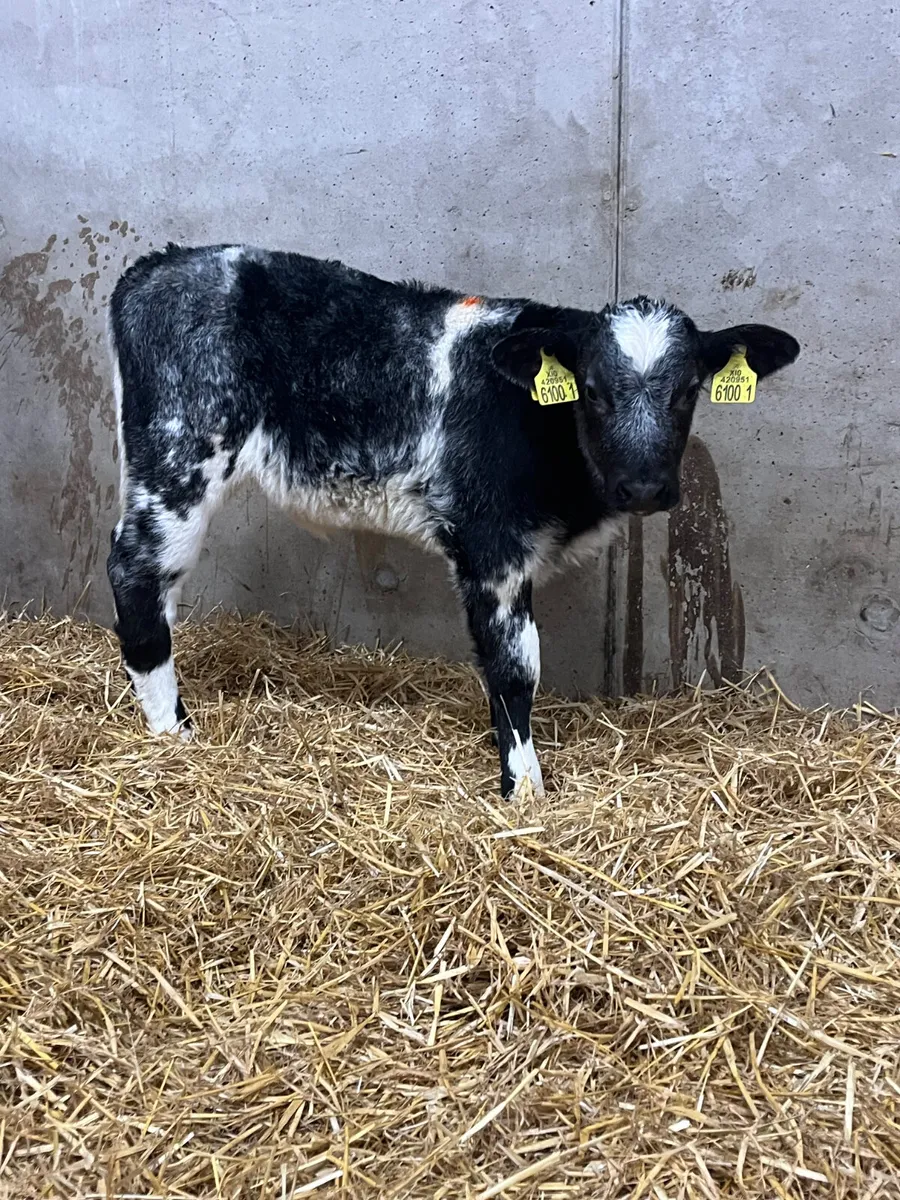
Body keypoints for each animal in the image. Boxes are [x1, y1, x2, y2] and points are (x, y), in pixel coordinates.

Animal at [106, 244, 799, 797]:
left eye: (688, 390)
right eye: (594, 390)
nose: (644, 486)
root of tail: (159, 263)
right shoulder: (491, 545)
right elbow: (515, 667)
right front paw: (524, 791)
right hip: (179, 455)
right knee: (136, 573)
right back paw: (173, 734)